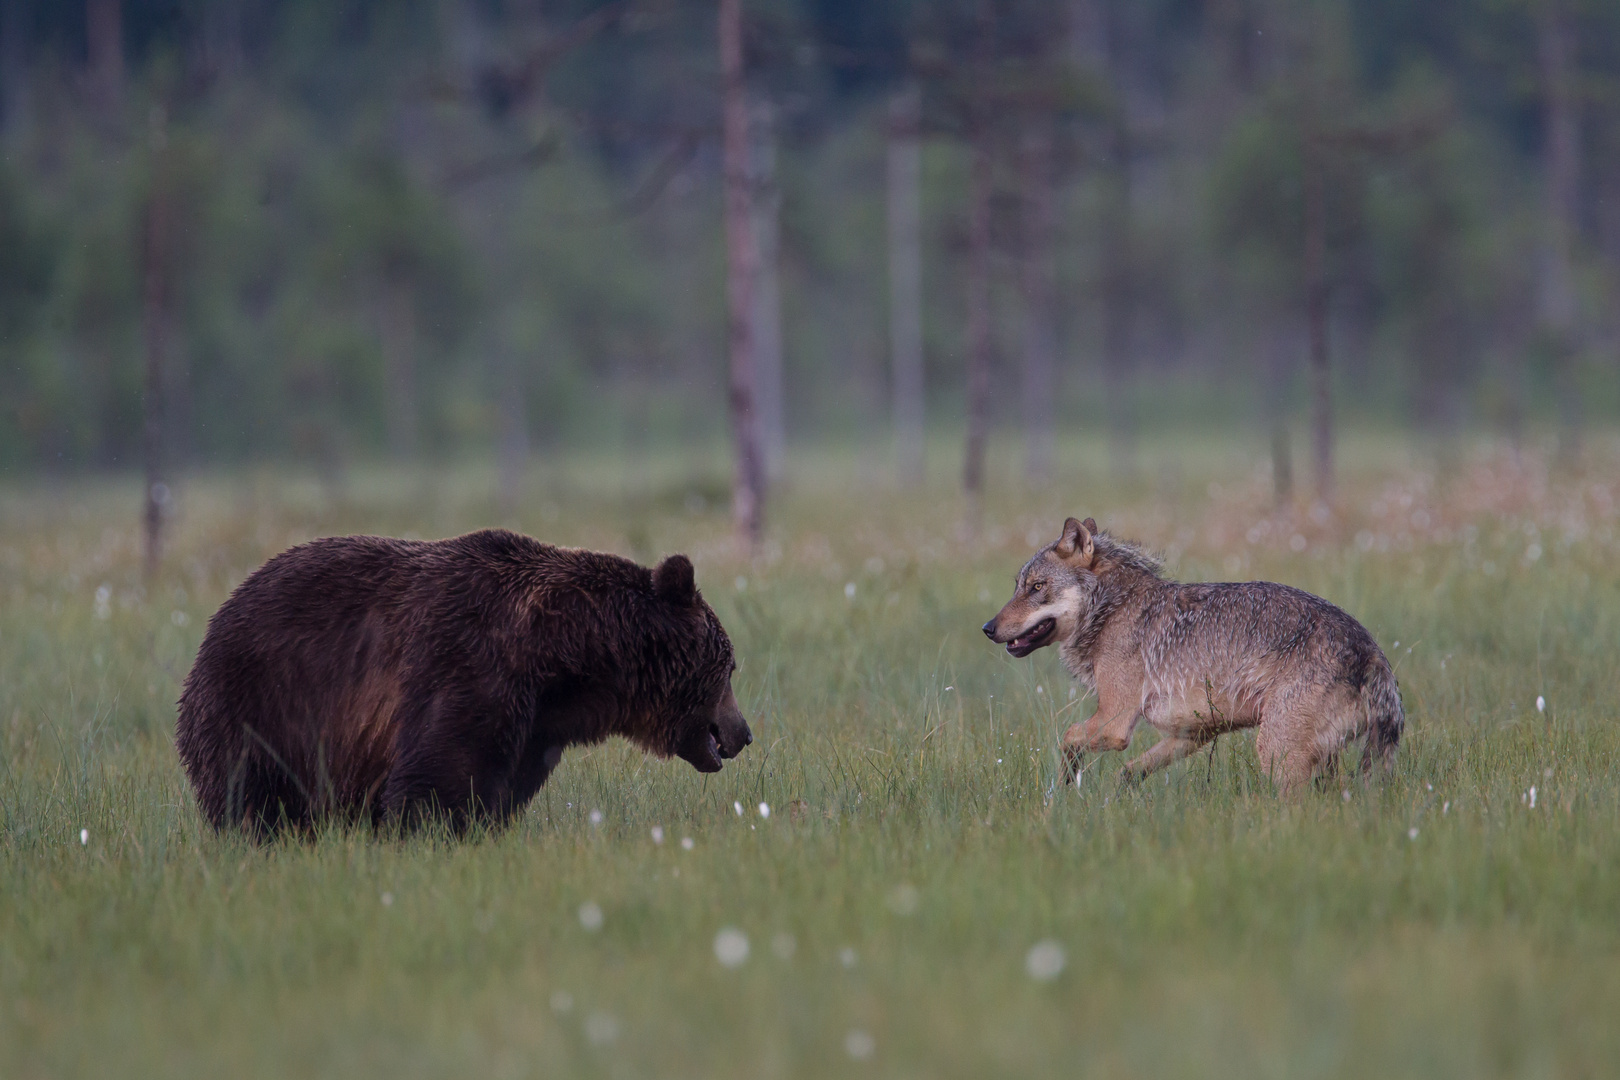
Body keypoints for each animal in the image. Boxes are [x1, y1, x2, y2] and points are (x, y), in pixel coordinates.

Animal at [174, 531, 748, 835]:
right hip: (261, 704)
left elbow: (497, 790)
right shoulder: (468, 668)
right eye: (729, 667)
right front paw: (429, 833)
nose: (743, 732)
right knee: (252, 794)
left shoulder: (534, 728)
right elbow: (439, 776)